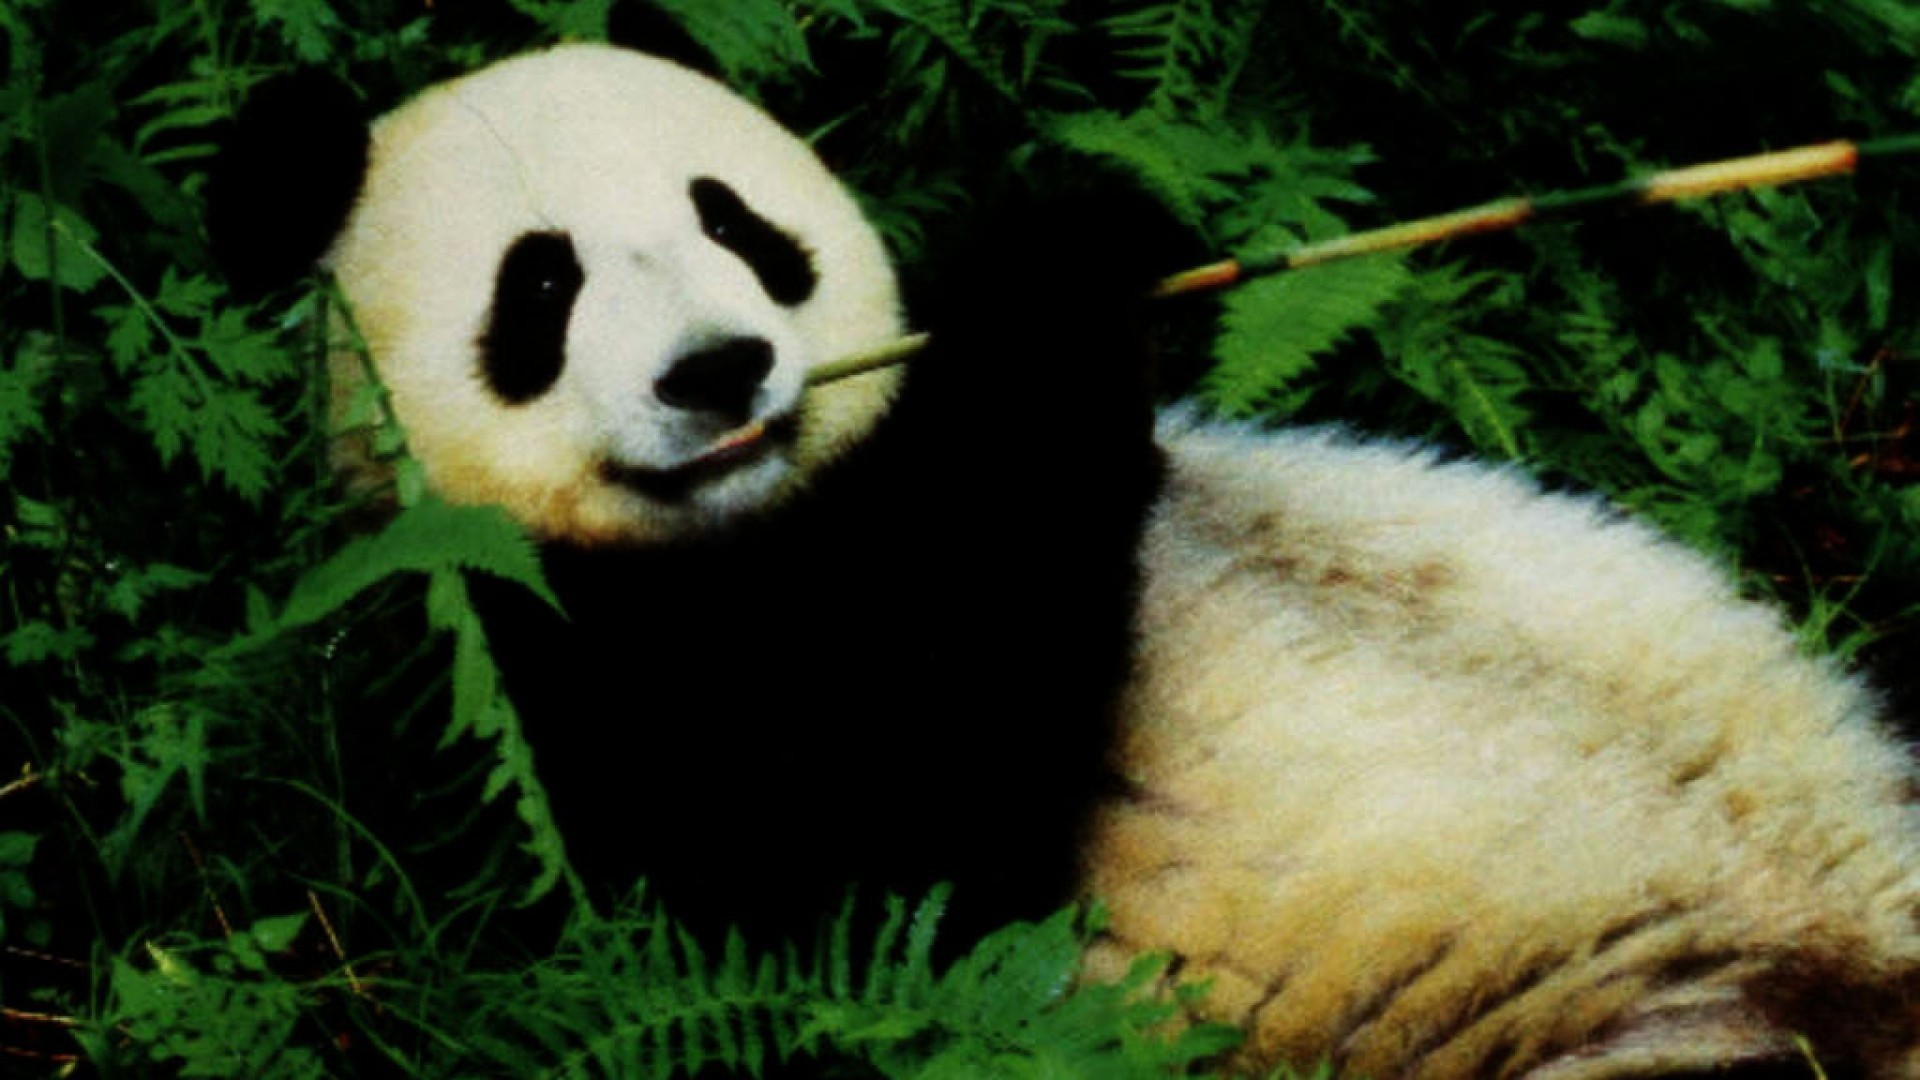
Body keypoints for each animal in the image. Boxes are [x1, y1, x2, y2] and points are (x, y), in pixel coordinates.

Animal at [210, 11, 1920, 1080]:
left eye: (738, 226)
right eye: (544, 286)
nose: (721, 370)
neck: (789, 521)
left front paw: (1094, 229)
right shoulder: (539, 708)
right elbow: (888, 837)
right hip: (1640, 1014)